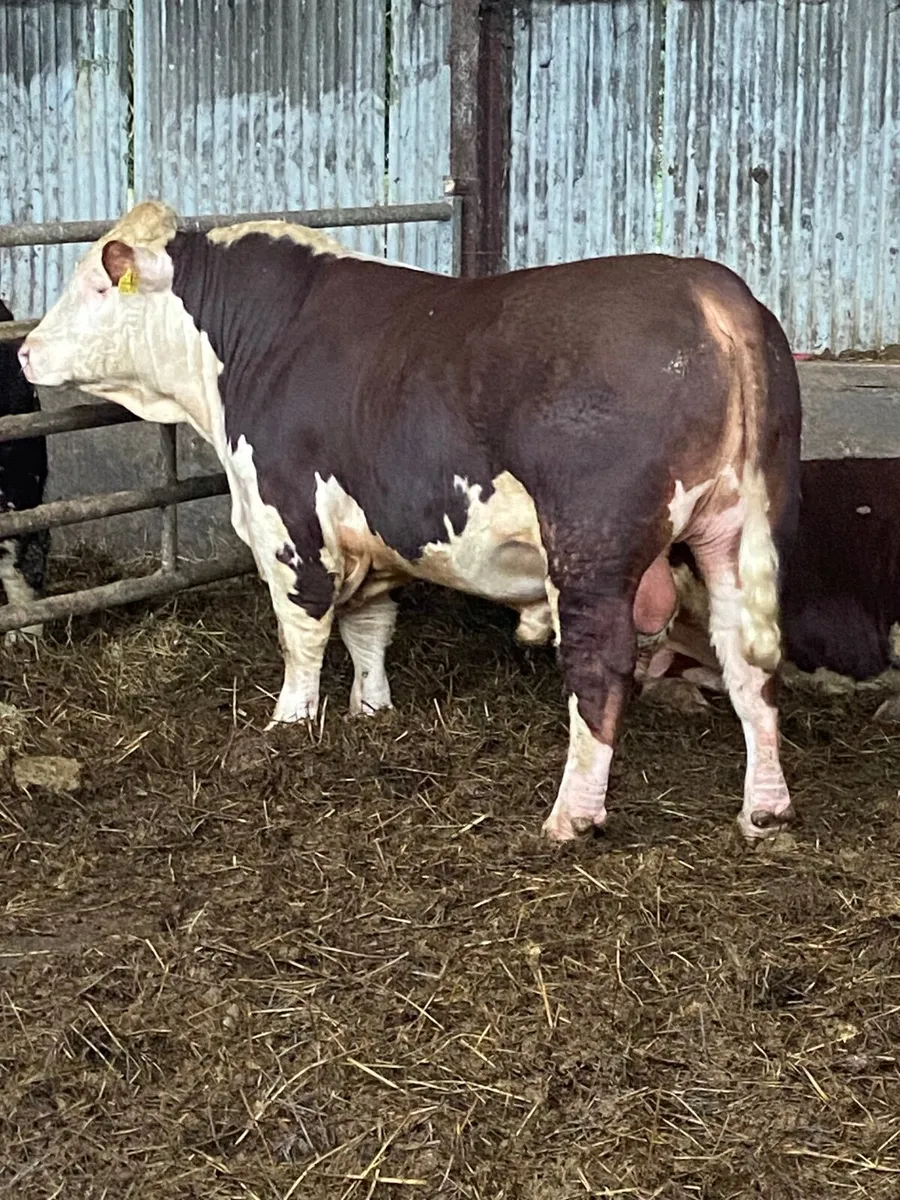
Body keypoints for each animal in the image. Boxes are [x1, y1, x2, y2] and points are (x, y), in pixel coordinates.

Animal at [18, 200, 802, 842]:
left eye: (96, 284)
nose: (25, 349)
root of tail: (707, 288)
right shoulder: (372, 530)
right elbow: (369, 627)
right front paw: (371, 711)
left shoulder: (286, 521)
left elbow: (302, 633)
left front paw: (287, 726)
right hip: (735, 530)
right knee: (749, 662)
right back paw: (764, 808)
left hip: (593, 545)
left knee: (600, 667)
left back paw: (571, 815)